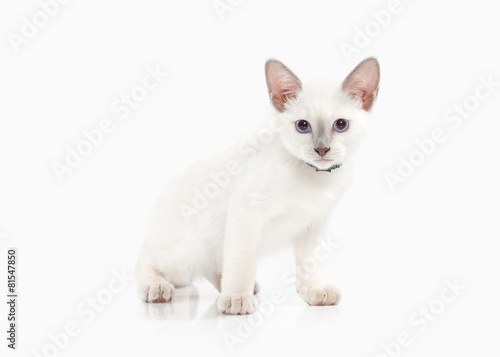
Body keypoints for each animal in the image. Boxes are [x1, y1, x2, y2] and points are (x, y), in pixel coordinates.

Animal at [135, 56, 380, 314]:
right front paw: (237, 298)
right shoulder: (246, 211)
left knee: (213, 265)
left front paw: (313, 291)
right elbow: (242, 262)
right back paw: (156, 287)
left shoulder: (314, 223)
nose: (321, 149)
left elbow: (309, 265)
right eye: (303, 126)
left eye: (340, 125)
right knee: (147, 256)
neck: (316, 178)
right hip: (184, 250)